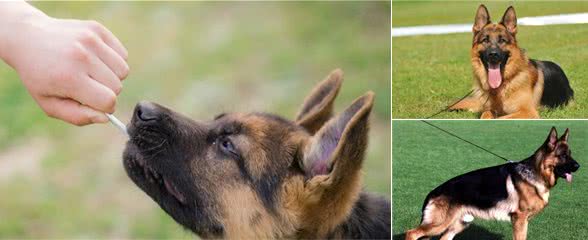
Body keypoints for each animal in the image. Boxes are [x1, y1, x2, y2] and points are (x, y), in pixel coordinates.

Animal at [404, 126, 580, 239]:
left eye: (570, 154)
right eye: (563, 156)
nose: (579, 166)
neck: (535, 173)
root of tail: (432, 192)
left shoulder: (523, 221)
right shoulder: (519, 220)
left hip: (458, 224)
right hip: (439, 223)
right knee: (411, 233)